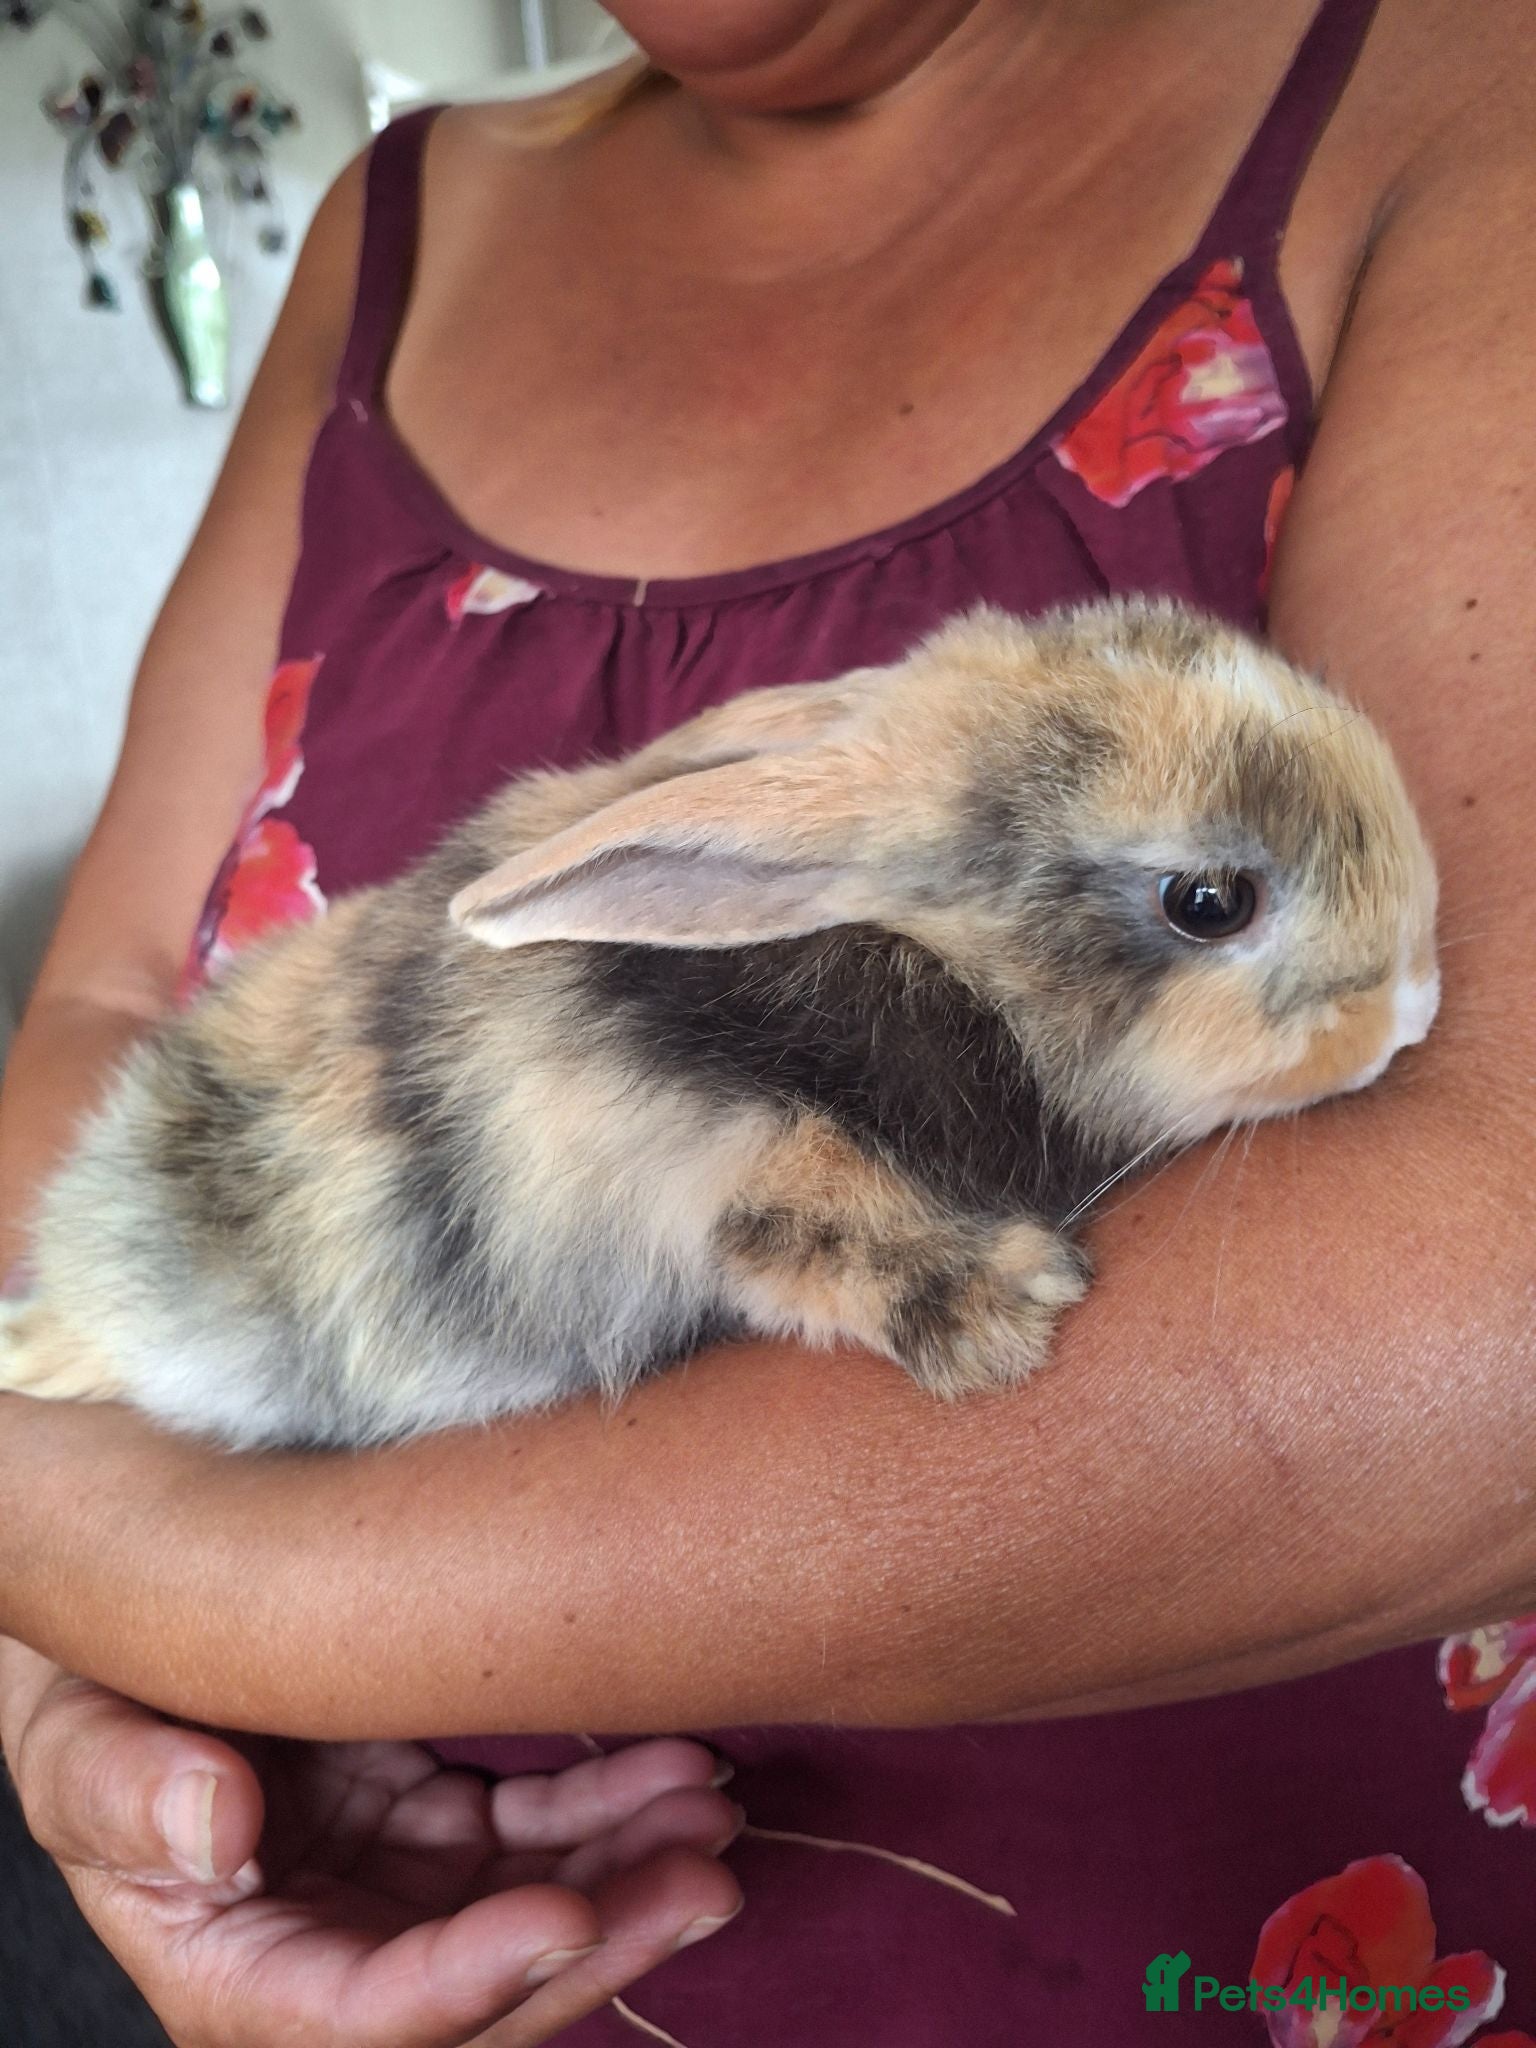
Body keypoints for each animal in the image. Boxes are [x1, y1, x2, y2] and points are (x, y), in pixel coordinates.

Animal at [0, 598, 1439, 1449]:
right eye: (1209, 901)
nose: (1413, 1007)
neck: (940, 965)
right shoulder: (669, 1139)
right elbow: (799, 1209)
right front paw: (1004, 1307)